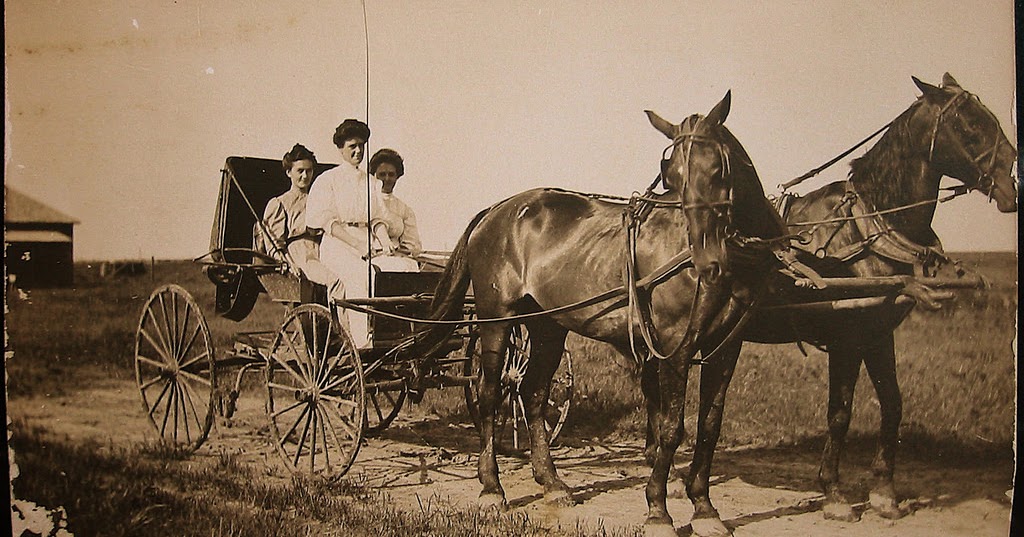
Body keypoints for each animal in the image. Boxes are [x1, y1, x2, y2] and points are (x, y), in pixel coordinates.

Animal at [412, 92, 787, 537]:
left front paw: (704, 508)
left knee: (532, 393)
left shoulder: (725, 348)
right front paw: (658, 510)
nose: (707, 260)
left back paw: (552, 483)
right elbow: (671, 427)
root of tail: (496, 209)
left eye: (717, 168)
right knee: (490, 394)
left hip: (546, 324)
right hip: (497, 318)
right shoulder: (673, 348)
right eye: (672, 176)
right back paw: (492, 488)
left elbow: (709, 427)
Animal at [671, 73, 1017, 531]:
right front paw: (833, 493)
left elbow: (892, 404)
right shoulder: (847, 338)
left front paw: (884, 491)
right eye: (969, 124)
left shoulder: (878, 332)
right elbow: (840, 412)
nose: (1012, 181)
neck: (869, 228)